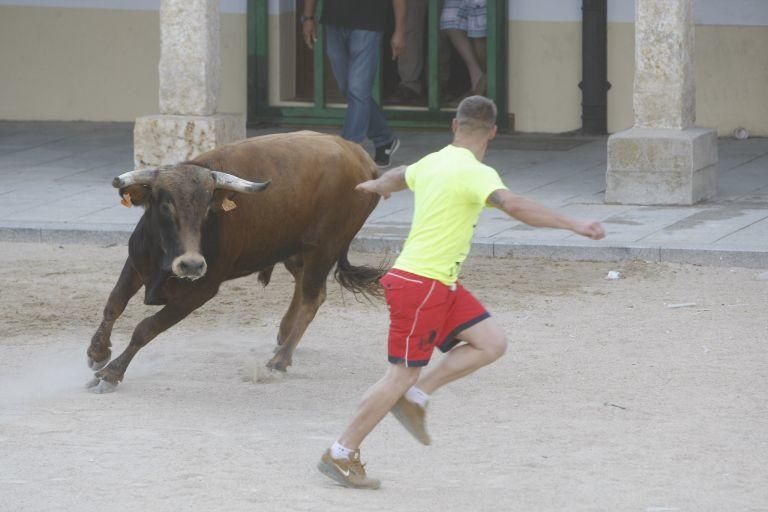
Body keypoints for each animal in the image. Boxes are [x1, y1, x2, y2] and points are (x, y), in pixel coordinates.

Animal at [86, 131, 384, 392]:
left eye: (208, 209)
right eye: (165, 205)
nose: (191, 265)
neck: (164, 258)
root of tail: (362, 159)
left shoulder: (199, 292)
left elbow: (146, 328)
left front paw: (111, 374)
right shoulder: (136, 263)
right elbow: (113, 304)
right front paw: (97, 353)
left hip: (324, 247)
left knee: (312, 298)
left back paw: (280, 360)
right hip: (295, 249)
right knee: (306, 287)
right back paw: (283, 338)